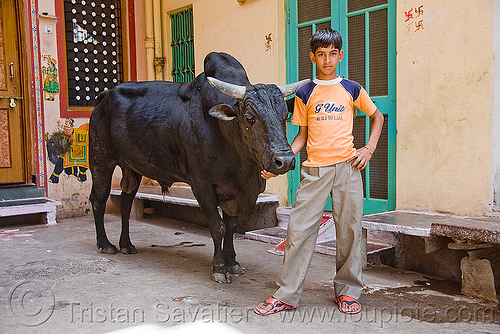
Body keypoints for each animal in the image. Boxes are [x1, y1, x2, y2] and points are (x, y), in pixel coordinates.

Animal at [90, 53, 308, 284]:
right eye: (250, 118)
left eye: (285, 116)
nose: (284, 160)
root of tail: (104, 95)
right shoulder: (202, 185)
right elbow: (218, 226)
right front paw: (220, 268)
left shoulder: (233, 192)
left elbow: (231, 226)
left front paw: (233, 263)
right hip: (101, 159)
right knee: (98, 200)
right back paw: (105, 244)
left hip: (132, 167)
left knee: (126, 201)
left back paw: (126, 244)